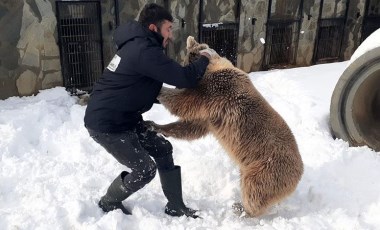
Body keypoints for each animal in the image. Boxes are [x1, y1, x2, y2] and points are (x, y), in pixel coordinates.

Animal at [145, 36, 302, 217]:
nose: (178, 85)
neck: (213, 67)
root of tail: (300, 173)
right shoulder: (209, 116)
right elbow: (190, 128)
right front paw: (154, 125)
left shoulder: (215, 92)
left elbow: (184, 103)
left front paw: (159, 89)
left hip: (267, 168)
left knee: (254, 190)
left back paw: (242, 208)